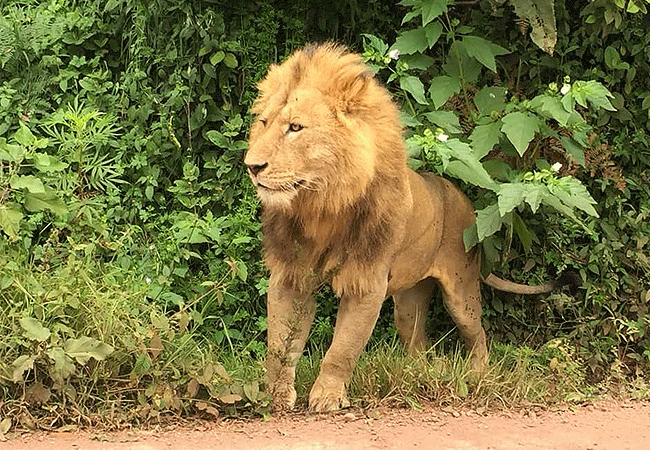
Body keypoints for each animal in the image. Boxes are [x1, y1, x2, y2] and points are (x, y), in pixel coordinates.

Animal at [244, 43, 575, 413]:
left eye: (296, 127)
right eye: (263, 123)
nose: (252, 166)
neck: (322, 205)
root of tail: (464, 201)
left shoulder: (367, 282)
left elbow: (342, 349)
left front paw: (327, 396)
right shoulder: (290, 276)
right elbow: (279, 346)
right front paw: (276, 396)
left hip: (461, 292)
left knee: (478, 335)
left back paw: (476, 375)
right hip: (409, 301)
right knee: (418, 343)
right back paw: (418, 373)